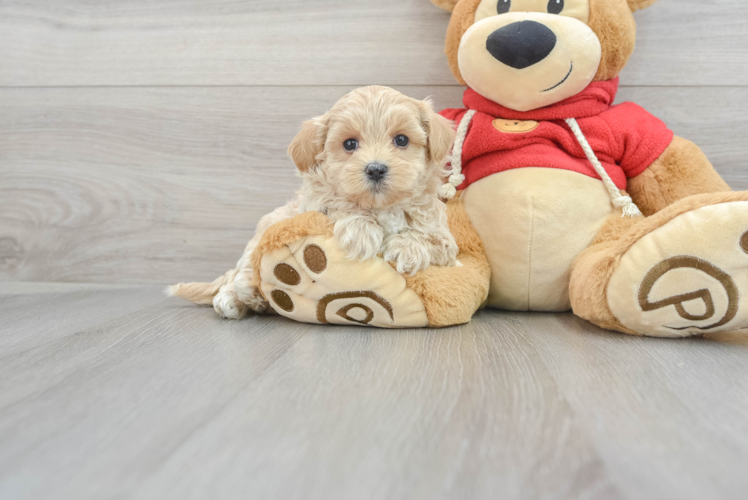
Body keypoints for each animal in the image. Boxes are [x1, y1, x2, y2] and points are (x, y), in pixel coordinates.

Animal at [171, 86, 456, 318]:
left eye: (402, 139)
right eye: (349, 144)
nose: (376, 169)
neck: (380, 206)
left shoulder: (445, 241)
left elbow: (431, 239)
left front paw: (406, 248)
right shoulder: (313, 204)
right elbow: (337, 203)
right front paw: (361, 231)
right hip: (262, 235)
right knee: (243, 274)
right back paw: (240, 296)